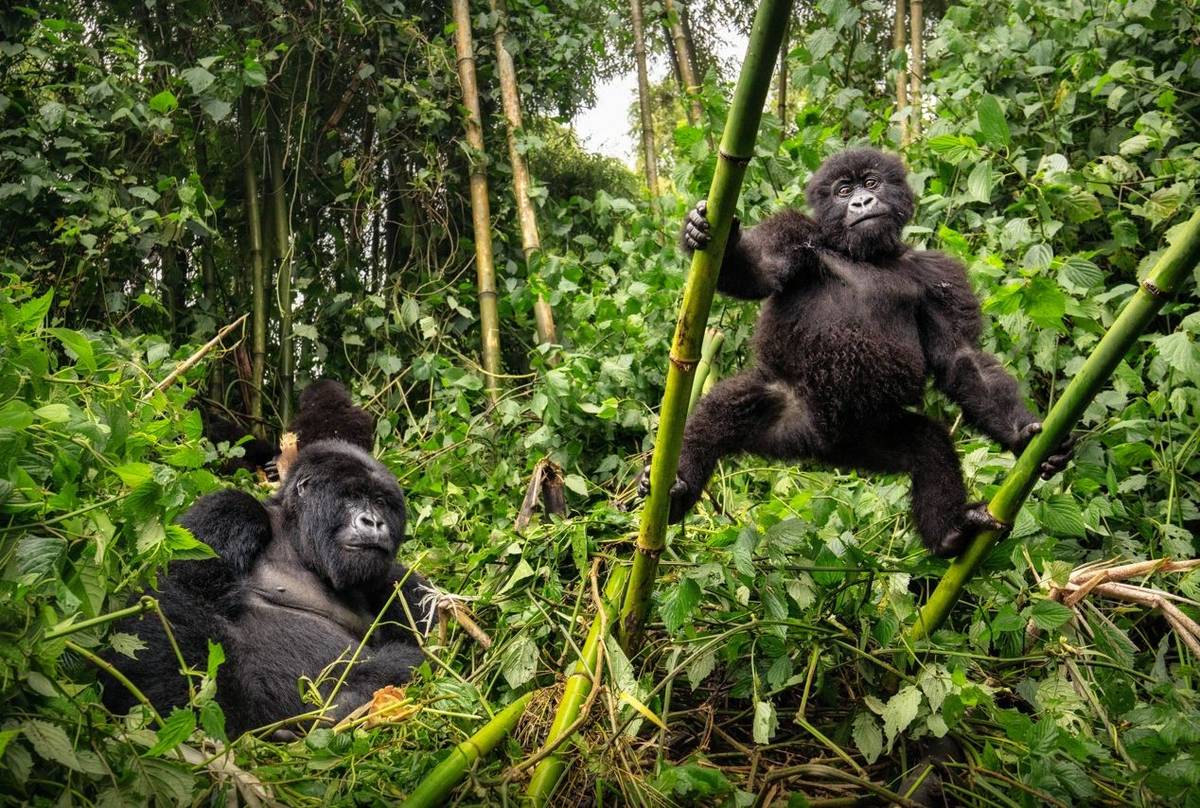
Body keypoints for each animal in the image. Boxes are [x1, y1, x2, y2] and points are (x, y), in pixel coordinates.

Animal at [100, 437, 434, 734]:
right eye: (352, 496)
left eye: (380, 502)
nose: (374, 522)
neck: (300, 543)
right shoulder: (230, 510)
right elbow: (176, 595)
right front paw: (224, 723)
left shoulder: (396, 580)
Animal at [648, 146, 1070, 554]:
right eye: (843, 191)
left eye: (871, 183)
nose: (863, 202)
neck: (866, 254)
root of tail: (814, 446)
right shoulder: (794, 233)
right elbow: (756, 270)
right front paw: (704, 232)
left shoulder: (939, 274)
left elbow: (960, 357)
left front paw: (1022, 434)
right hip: (791, 407)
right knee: (720, 413)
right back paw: (677, 489)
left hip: (869, 437)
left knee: (927, 445)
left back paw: (949, 532)